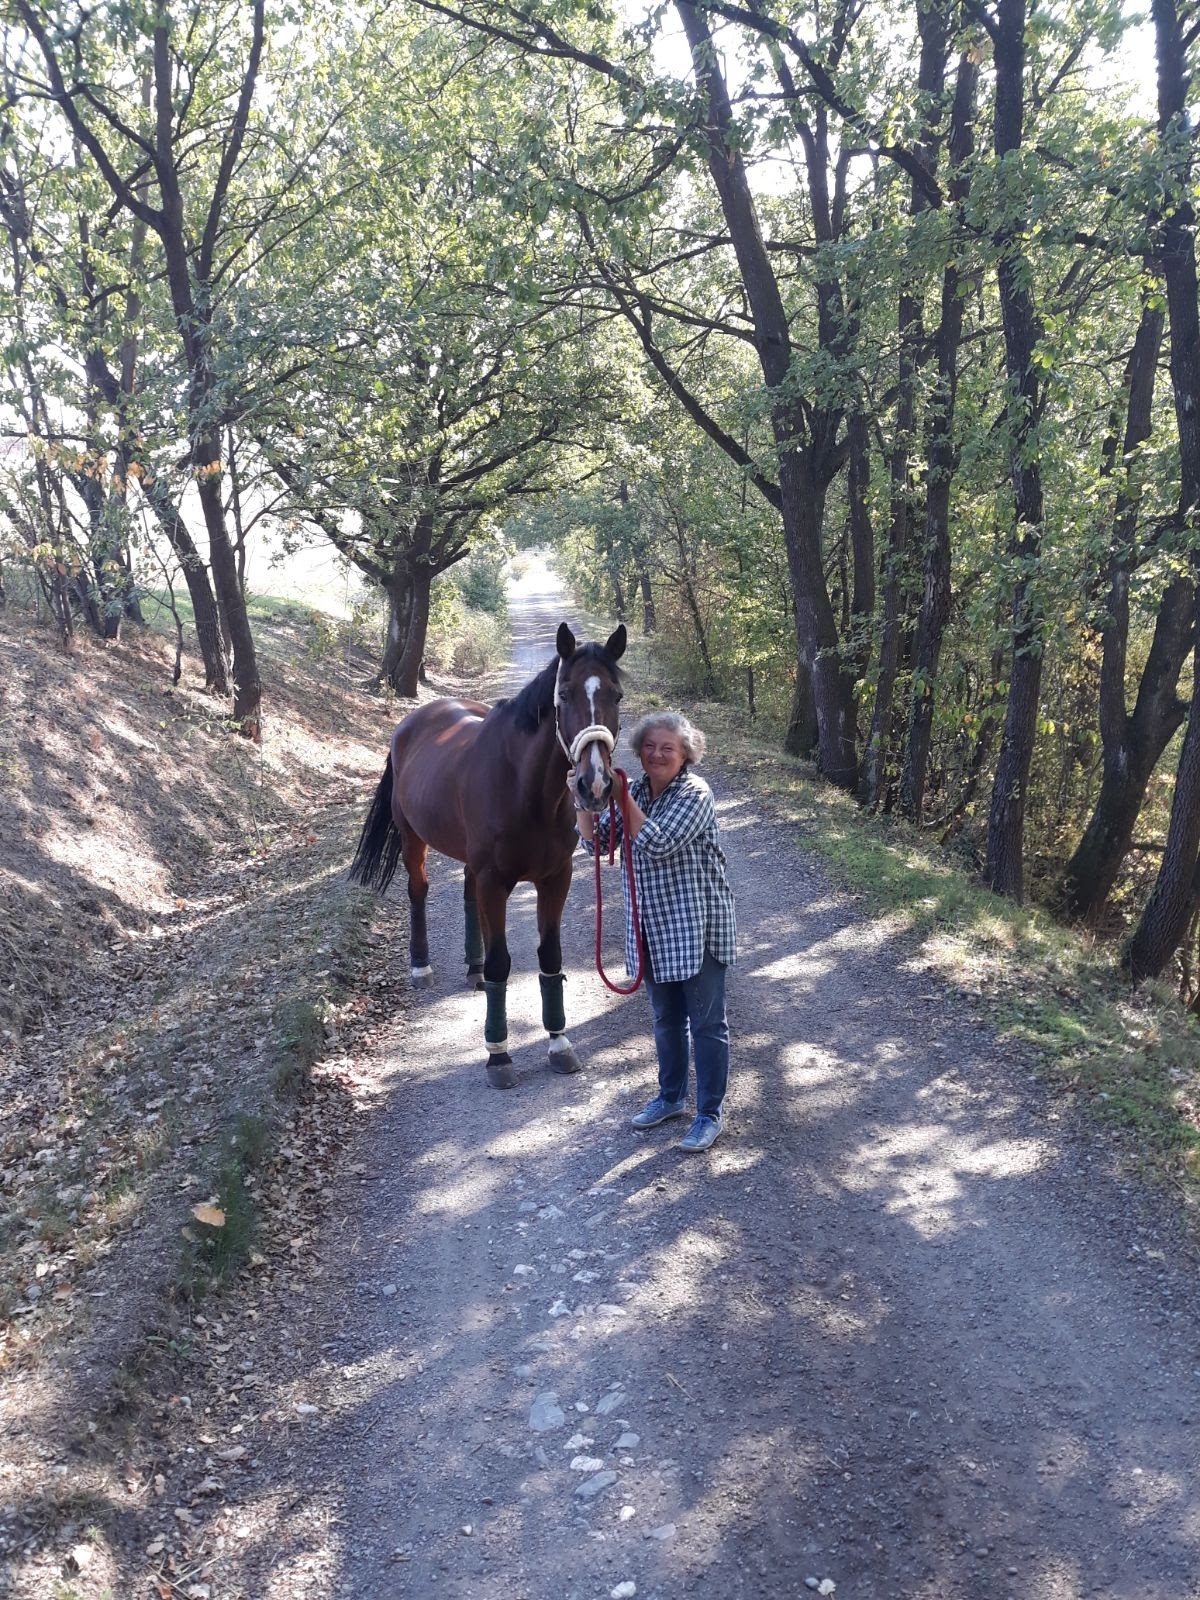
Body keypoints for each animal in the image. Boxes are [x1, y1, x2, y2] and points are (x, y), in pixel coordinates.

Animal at [347, 620, 630, 1088]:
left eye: (617, 695)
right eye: (564, 693)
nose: (595, 785)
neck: (524, 788)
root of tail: (415, 720)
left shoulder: (555, 879)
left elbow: (550, 959)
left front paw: (559, 1043)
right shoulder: (495, 881)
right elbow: (502, 965)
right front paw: (498, 1054)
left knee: (466, 894)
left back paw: (472, 968)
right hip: (412, 838)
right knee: (418, 891)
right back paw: (421, 966)